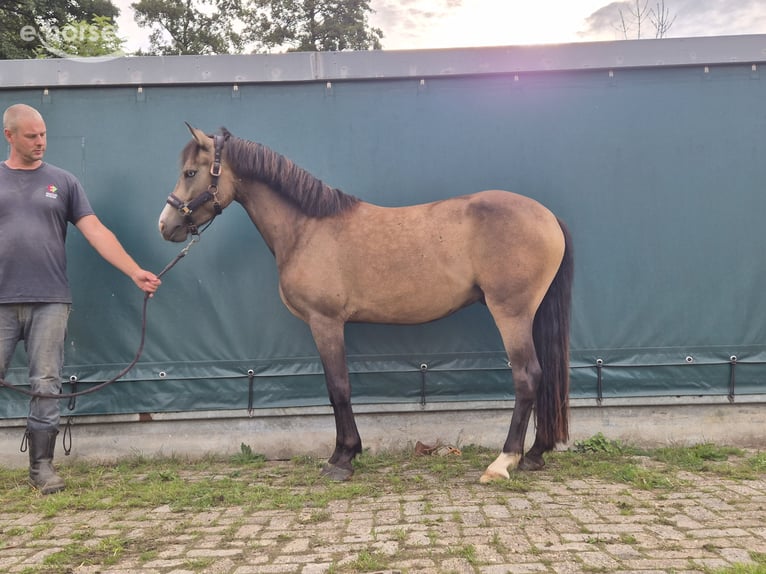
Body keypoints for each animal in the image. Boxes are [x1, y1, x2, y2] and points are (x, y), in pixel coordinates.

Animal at [158, 124, 574, 483]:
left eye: (191, 172)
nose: (165, 225)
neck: (308, 228)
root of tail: (548, 216)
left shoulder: (325, 322)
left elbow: (338, 388)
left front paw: (341, 458)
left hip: (511, 313)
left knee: (527, 377)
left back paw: (503, 462)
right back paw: (534, 454)